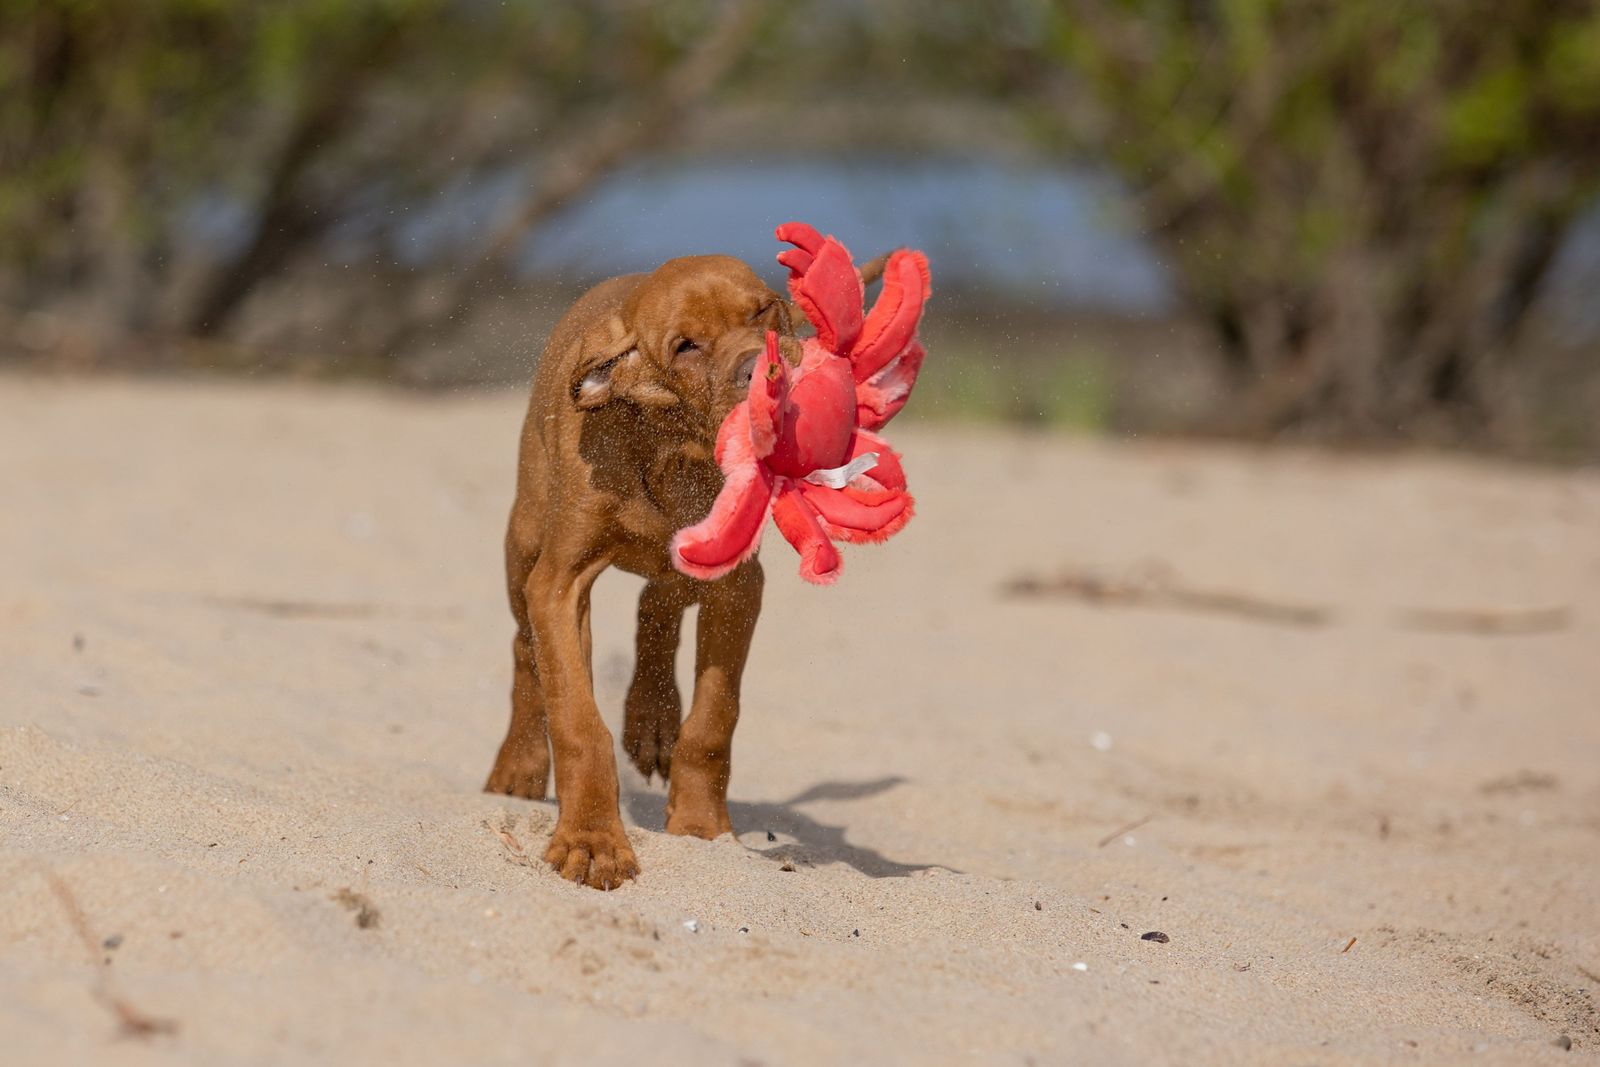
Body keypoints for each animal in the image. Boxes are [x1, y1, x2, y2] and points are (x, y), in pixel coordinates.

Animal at [480, 254, 806, 889]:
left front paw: (701, 825)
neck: (670, 445)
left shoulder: (738, 584)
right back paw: (520, 765)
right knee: (524, 647)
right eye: (685, 347)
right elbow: (577, 719)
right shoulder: (558, 584)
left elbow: (712, 719)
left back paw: (651, 720)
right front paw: (591, 840)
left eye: (762, 310)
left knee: (657, 602)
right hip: (524, 539)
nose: (766, 372)